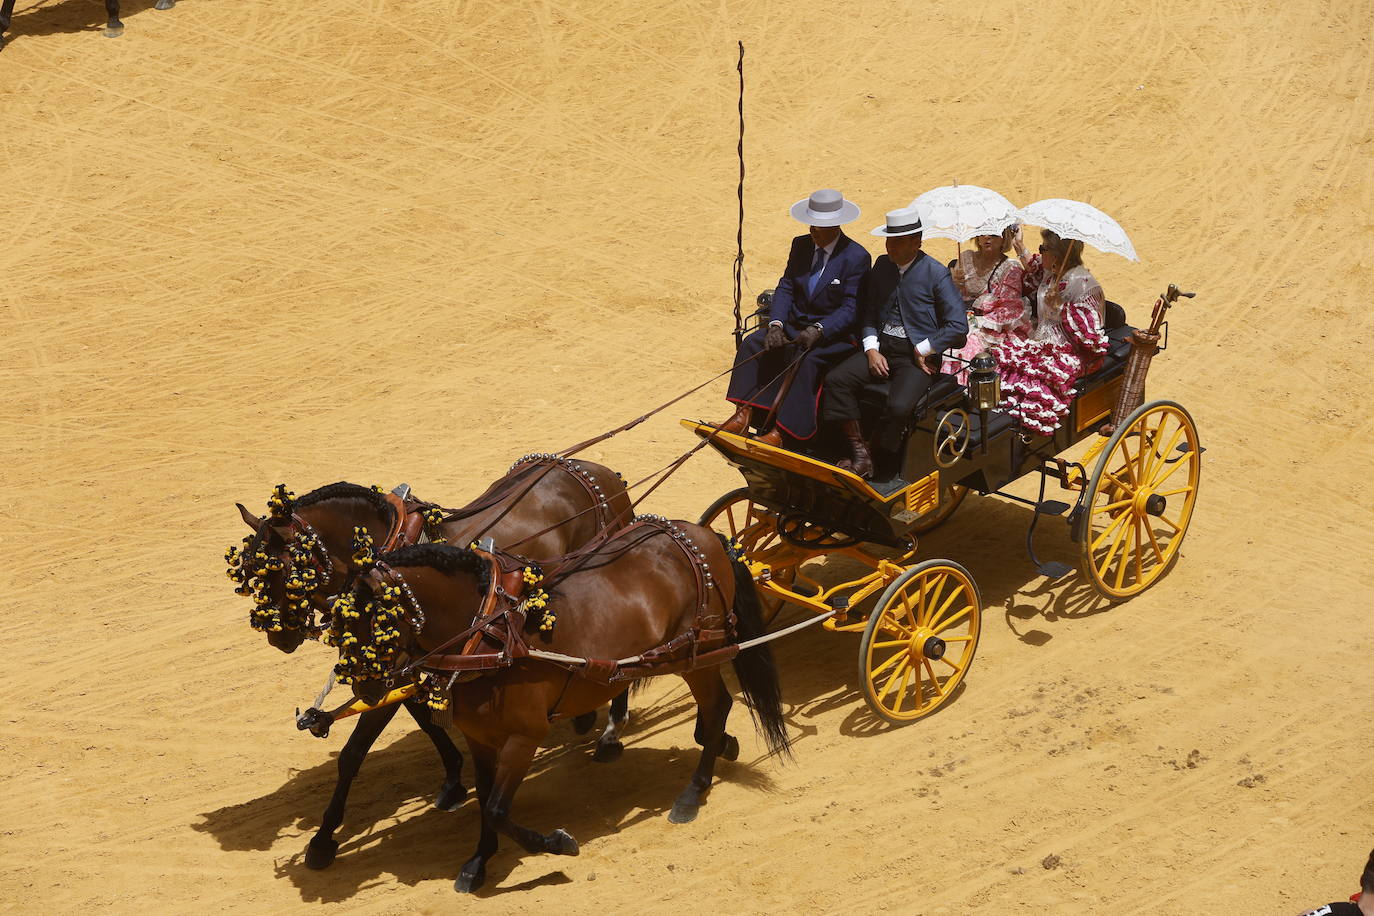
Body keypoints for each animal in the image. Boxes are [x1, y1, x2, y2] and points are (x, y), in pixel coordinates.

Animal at [226, 455, 632, 873]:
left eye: (279, 570)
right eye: (250, 572)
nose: (279, 638)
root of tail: (593, 470)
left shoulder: (394, 670)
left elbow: (354, 752)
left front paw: (323, 841)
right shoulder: (407, 664)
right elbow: (422, 715)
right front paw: (453, 779)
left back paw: (611, 730)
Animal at [343, 519, 791, 889]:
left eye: (377, 620)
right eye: (340, 622)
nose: (365, 688)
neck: (490, 636)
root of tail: (706, 537)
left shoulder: (525, 737)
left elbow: (498, 809)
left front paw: (557, 843)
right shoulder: (480, 739)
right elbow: (485, 801)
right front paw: (479, 862)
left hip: (698, 654)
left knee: (716, 707)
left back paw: (691, 794)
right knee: (715, 712)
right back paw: (721, 748)